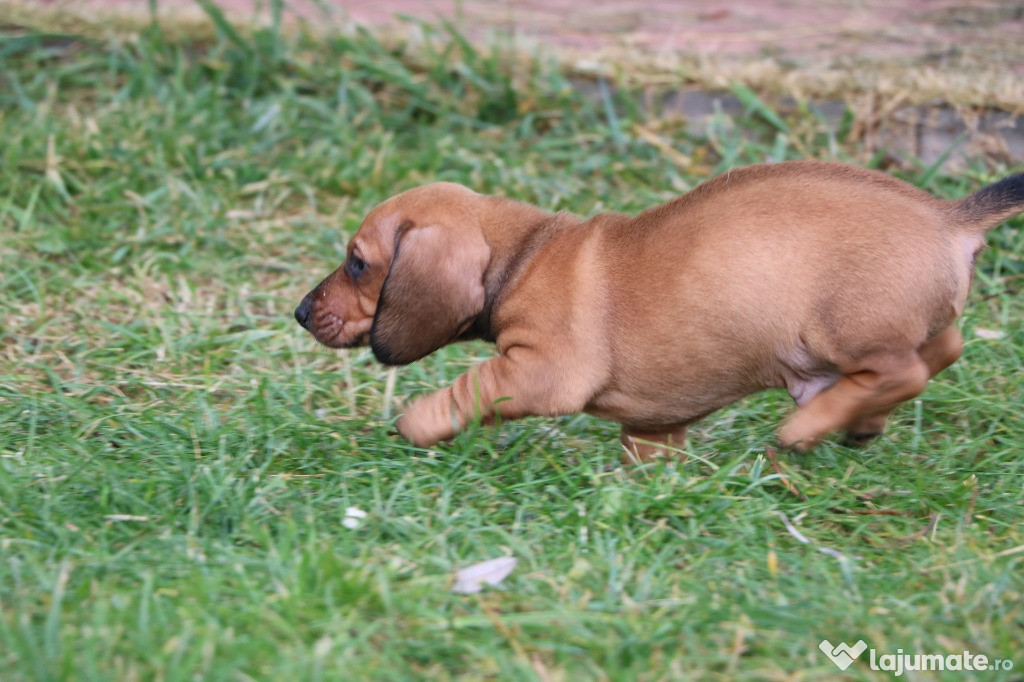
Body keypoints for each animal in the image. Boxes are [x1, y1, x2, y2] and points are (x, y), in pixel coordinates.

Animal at [296, 159, 1024, 458]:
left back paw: (808, 427)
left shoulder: (538, 372)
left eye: (357, 262)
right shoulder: (653, 423)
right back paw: (857, 421)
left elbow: (467, 389)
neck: (524, 254)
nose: (301, 312)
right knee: (942, 349)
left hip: (843, 328)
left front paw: (415, 424)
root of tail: (949, 217)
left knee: (907, 368)